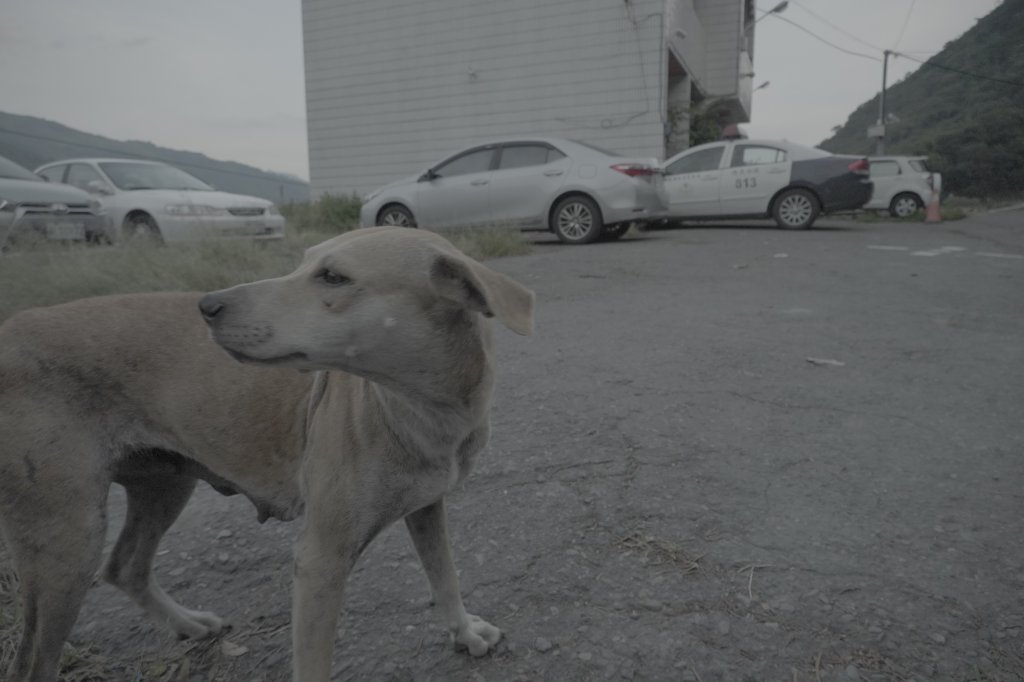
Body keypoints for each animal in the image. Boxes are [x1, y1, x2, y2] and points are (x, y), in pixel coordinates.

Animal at [2, 225, 536, 675]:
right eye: (303, 264)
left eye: (333, 277)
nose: (208, 305)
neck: (421, 408)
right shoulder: (321, 560)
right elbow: (314, 664)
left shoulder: (427, 506)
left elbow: (445, 575)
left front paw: (463, 632)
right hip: (66, 541)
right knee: (34, 662)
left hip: (164, 485)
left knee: (125, 566)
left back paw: (187, 624)